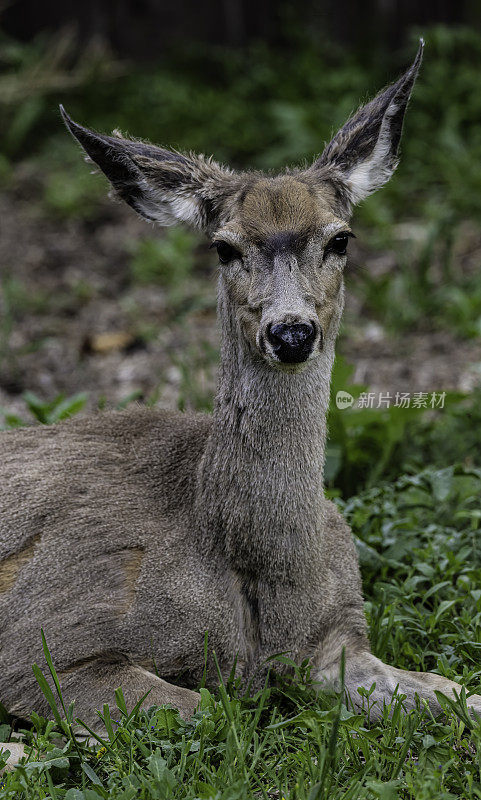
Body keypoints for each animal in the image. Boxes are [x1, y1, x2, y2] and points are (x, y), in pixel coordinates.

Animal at [0, 39, 480, 768]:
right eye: (224, 248)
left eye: (340, 239)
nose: (291, 332)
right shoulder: (45, 643)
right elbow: (204, 712)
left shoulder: (338, 637)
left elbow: (456, 692)